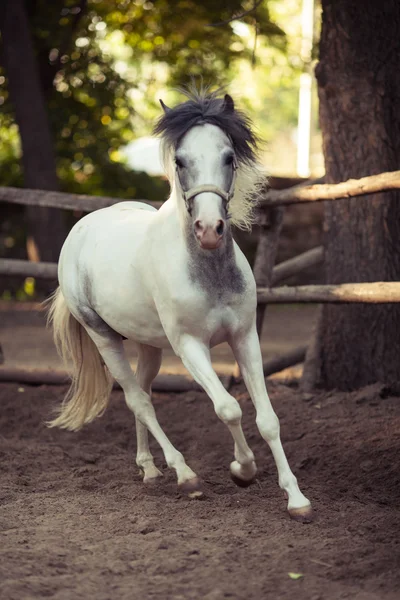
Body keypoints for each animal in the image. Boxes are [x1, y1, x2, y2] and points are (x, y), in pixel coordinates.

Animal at [48, 88, 312, 520]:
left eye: (229, 156)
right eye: (180, 161)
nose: (209, 230)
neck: (207, 272)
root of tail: (81, 229)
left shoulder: (244, 337)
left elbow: (268, 418)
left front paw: (296, 498)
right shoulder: (190, 347)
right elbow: (228, 408)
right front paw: (242, 470)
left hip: (149, 345)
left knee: (143, 393)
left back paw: (150, 469)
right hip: (104, 337)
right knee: (138, 399)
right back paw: (184, 475)